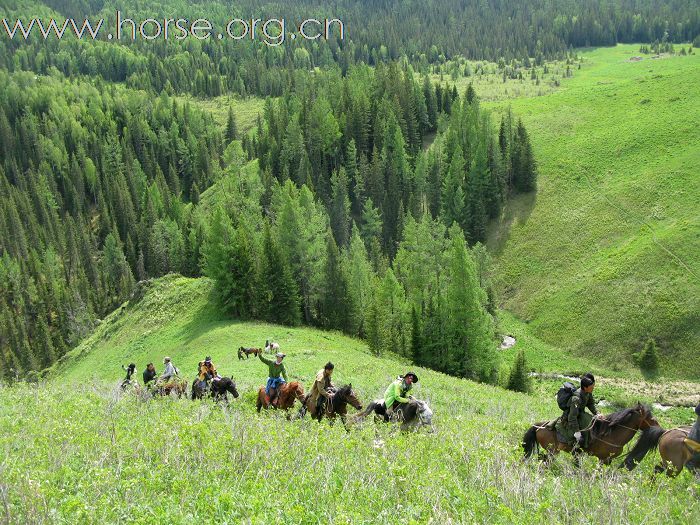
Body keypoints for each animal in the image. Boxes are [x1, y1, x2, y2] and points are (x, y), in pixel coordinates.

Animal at [524, 404, 660, 464]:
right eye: (651, 418)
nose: (659, 428)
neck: (613, 435)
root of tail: (540, 426)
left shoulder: (607, 460)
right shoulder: (603, 459)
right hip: (552, 450)